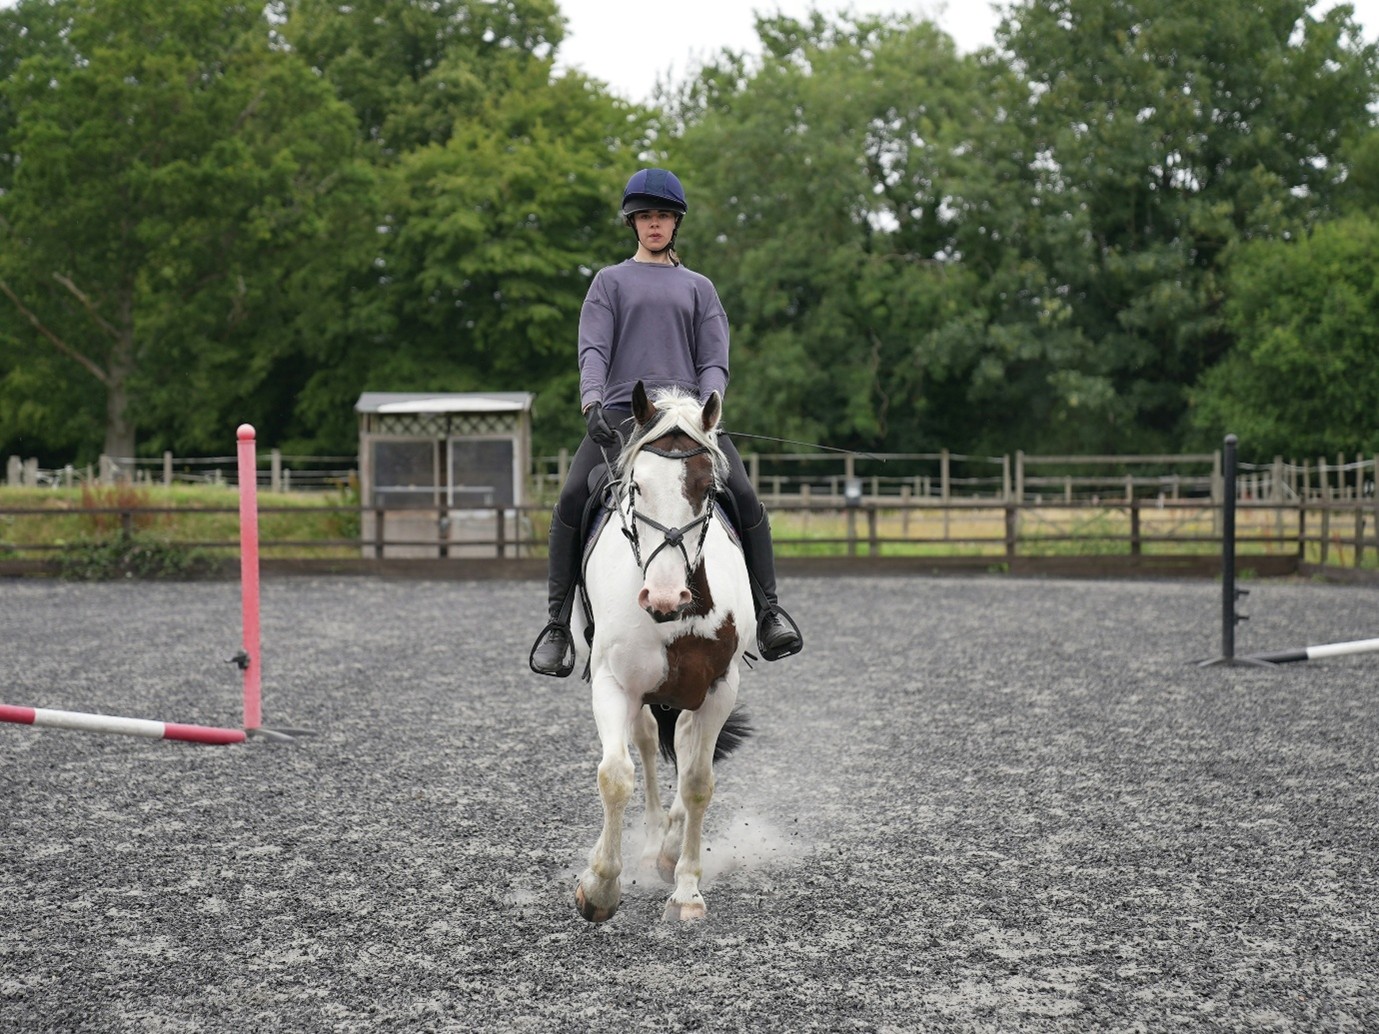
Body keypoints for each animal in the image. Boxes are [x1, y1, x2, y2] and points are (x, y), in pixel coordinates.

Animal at [570, 381, 755, 923]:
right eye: (636, 488)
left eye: (707, 489)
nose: (666, 597)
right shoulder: (615, 683)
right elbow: (615, 776)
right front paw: (600, 886)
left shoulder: (719, 688)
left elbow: (697, 782)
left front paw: (687, 890)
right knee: (649, 744)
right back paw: (653, 844)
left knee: (687, 742)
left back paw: (670, 850)